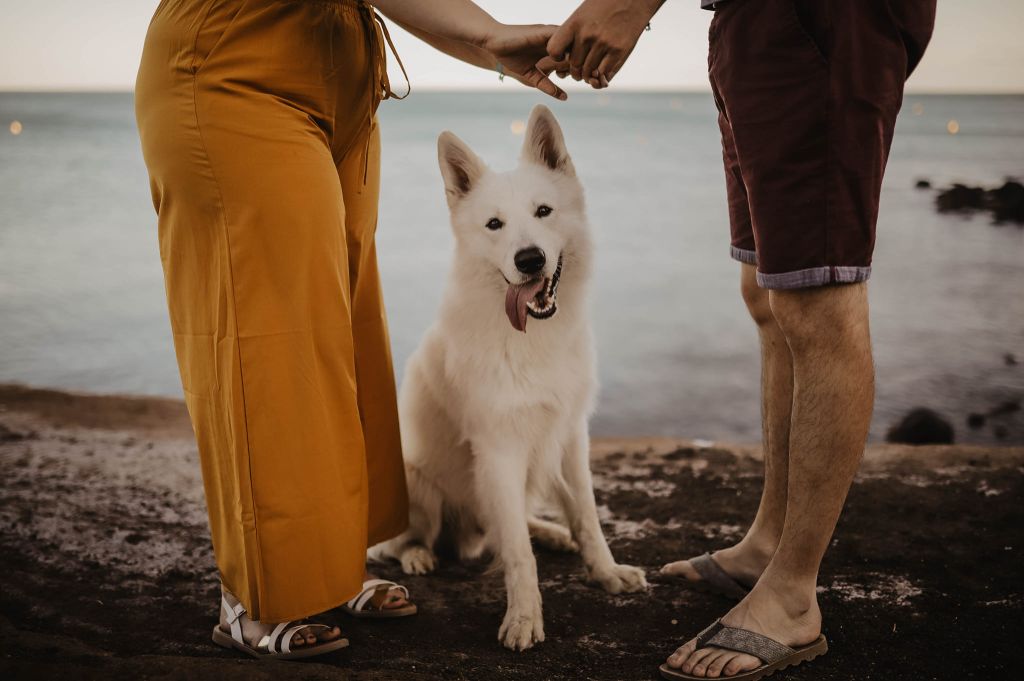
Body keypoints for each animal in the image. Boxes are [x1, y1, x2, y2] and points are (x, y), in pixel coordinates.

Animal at [374, 104, 647, 647]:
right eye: (494, 224)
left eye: (544, 211)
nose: (530, 260)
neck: (530, 337)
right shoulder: (500, 450)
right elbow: (519, 555)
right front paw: (524, 617)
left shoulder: (570, 436)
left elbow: (587, 516)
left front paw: (606, 573)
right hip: (417, 484)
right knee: (399, 543)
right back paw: (419, 555)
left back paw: (552, 532)